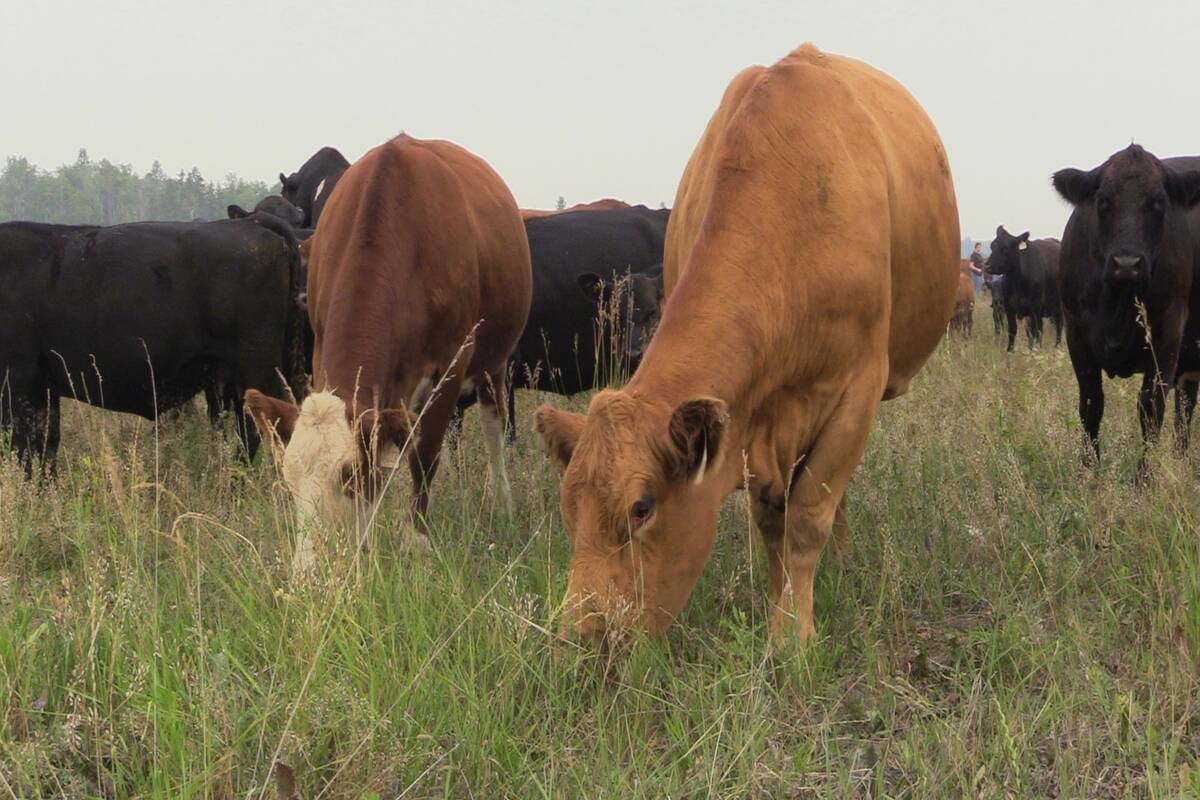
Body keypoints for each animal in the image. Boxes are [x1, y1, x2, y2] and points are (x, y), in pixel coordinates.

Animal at [0, 216, 308, 476]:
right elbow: (45, 446)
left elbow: (20, 447)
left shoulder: (17, 381)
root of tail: (252, 223)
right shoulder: (43, 387)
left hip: (257, 368)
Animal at [244, 135, 532, 572]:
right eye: (289, 479)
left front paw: (416, 541)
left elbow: (425, 455)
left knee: (494, 425)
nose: (311, 575)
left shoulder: (452, 365)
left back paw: (502, 503)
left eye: (348, 476)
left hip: (493, 364)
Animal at [533, 44, 959, 647]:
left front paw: (793, 636)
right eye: (570, 507)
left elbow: (806, 519)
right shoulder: (749, 422)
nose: (584, 634)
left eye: (642, 508)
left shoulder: (856, 390)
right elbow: (772, 521)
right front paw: (777, 607)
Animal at [1052, 144, 1200, 473]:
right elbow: (1091, 404)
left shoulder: (1167, 335)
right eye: (1103, 201)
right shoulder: (1076, 334)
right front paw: (1088, 472)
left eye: (1158, 203)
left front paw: (1143, 477)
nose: (1127, 264)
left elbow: (1151, 407)